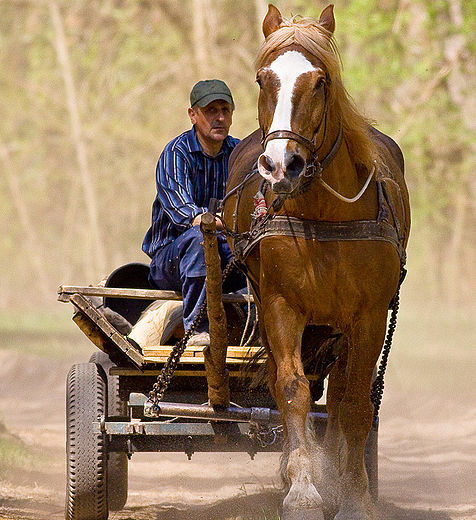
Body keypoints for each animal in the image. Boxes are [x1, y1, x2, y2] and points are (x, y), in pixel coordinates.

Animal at [223, 4, 410, 520]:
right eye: (263, 78)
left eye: (320, 81)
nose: (279, 165)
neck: (325, 218)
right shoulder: (281, 306)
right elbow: (293, 390)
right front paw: (303, 489)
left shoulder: (369, 316)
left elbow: (356, 405)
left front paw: (354, 494)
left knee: (344, 396)